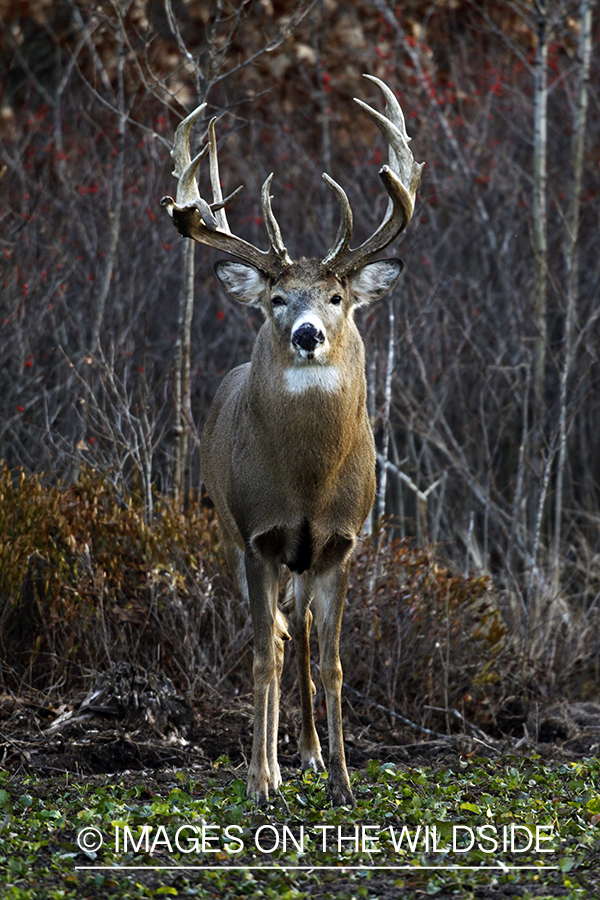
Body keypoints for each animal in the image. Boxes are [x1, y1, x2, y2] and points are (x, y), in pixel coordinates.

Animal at [159, 79, 422, 808]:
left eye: (336, 296)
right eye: (277, 297)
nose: (307, 333)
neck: (307, 482)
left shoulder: (340, 544)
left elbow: (331, 663)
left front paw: (342, 782)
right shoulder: (258, 537)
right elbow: (259, 656)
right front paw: (258, 781)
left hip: (303, 564)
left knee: (297, 632)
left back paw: (305, 754)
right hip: (229, 532)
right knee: (276, 638)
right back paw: (276, 767)